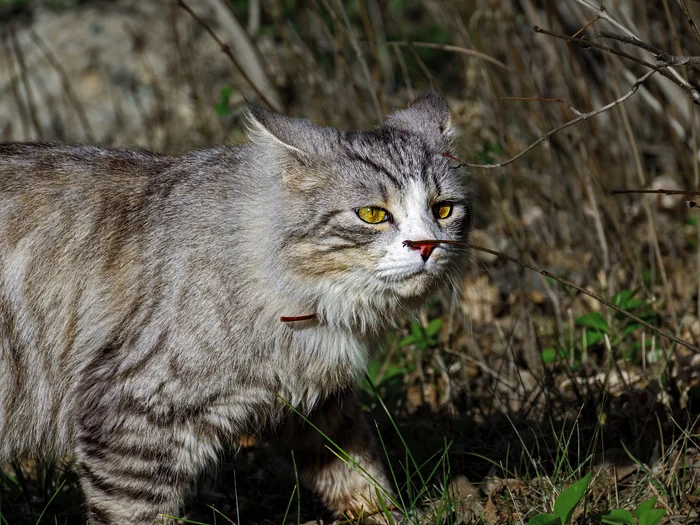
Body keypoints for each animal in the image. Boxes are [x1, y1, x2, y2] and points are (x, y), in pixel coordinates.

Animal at [0, 92, 474, 520]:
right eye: (373, 215)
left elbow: (359, 473)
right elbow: (134, 514)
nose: (427, 246)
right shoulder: (130, 419)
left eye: (443, 210)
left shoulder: (313, 405)